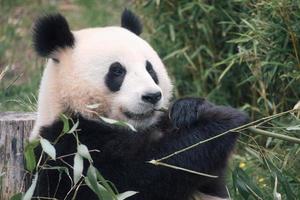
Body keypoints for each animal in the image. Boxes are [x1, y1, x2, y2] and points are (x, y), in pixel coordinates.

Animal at [29, 8, 248, 199]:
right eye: (117, 71)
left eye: (150, 68)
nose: (152, 96)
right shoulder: (73, 148)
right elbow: (144, 174)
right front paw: (225, 120)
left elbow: (211, 179)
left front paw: (189, 109)